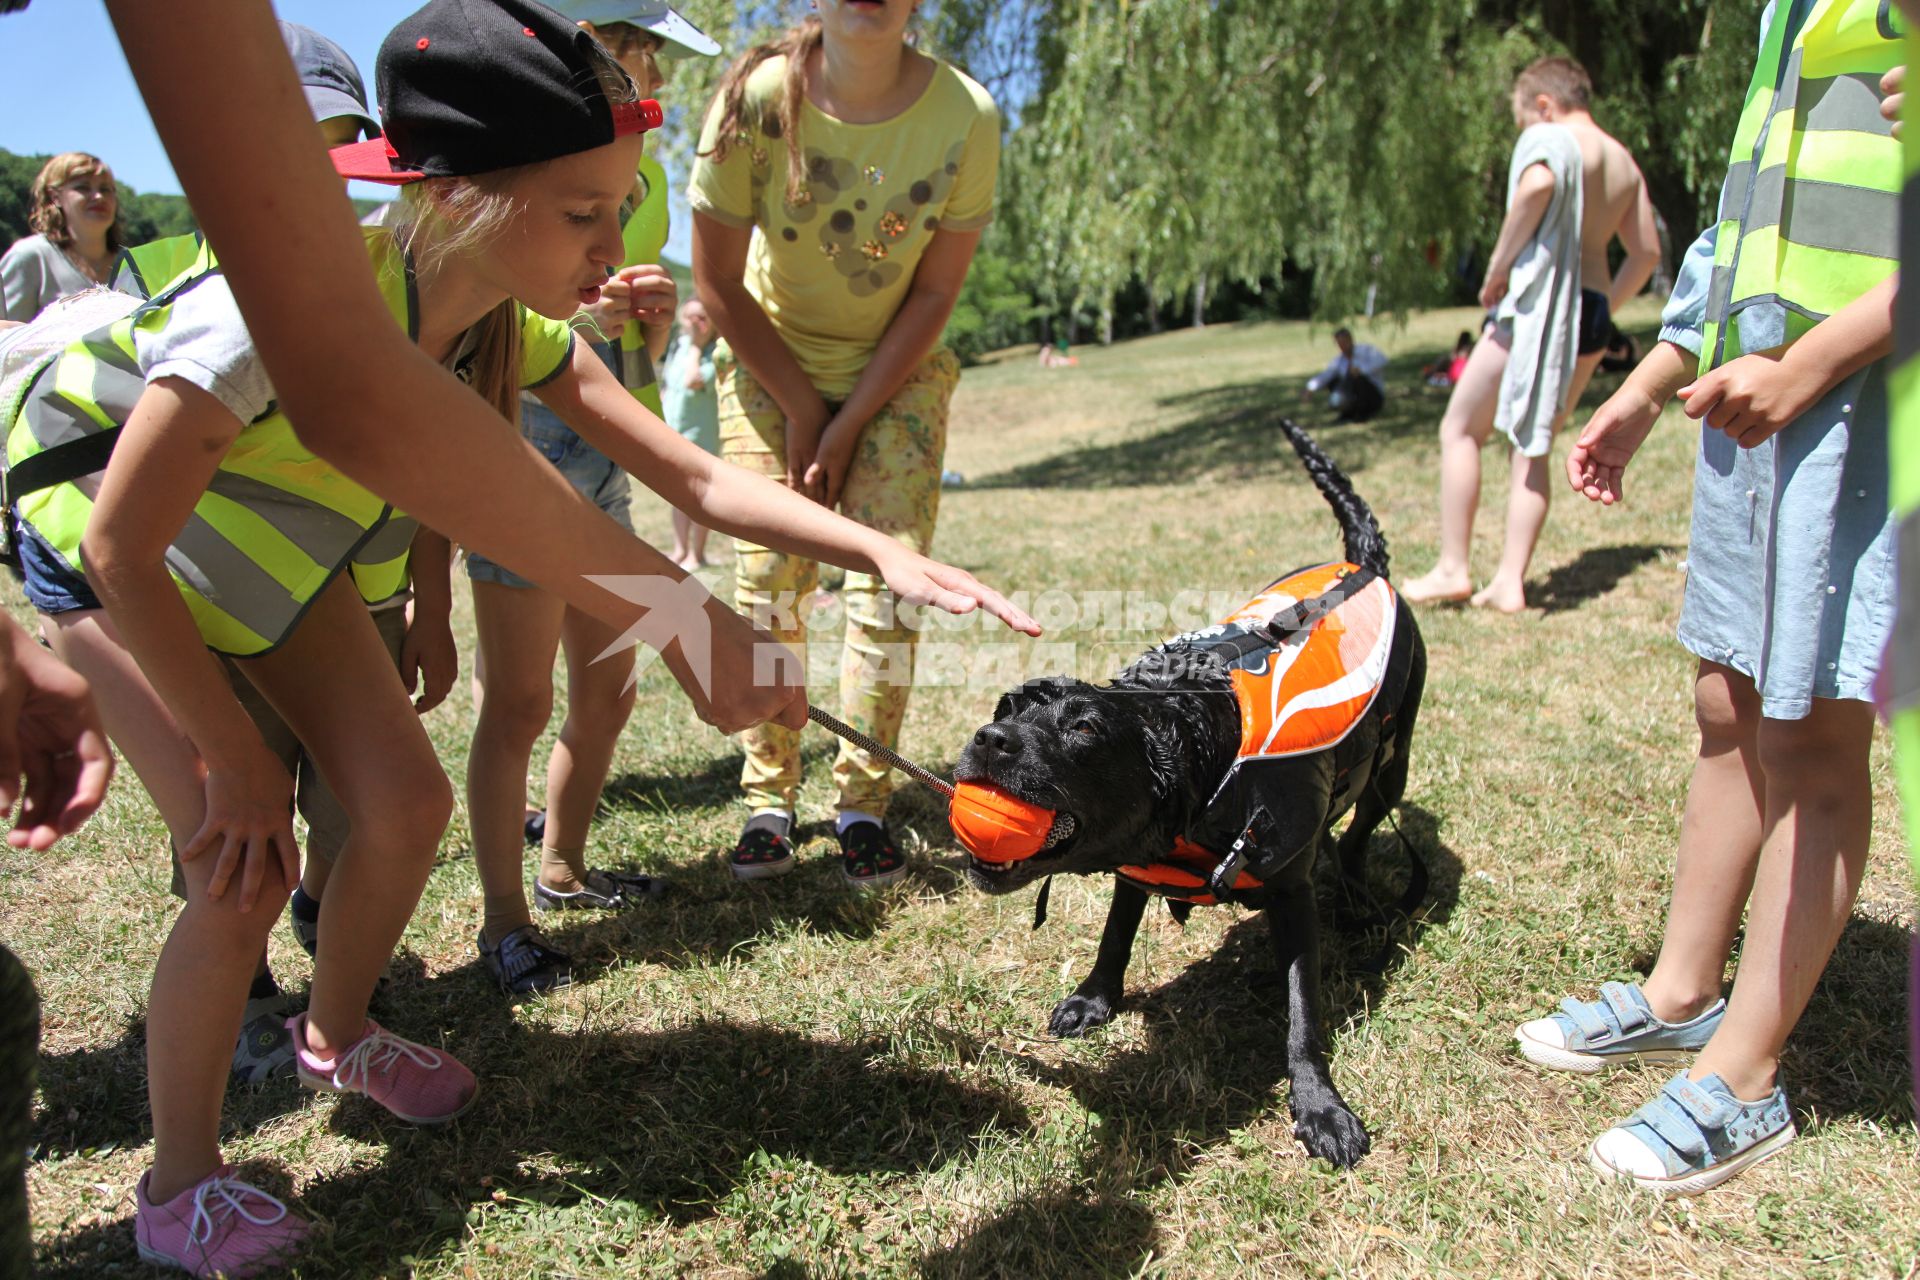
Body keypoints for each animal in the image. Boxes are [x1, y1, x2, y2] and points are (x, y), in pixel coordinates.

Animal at [960, 422, 1428, 1174]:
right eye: (1009, 705)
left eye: (1084, 728)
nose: (989, 738)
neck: (1206, 757)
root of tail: (1364, 564)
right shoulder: (1134, 864)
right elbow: (1115, 936)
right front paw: (1094, 1000)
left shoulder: (1291, 892)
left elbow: (1303, 1015)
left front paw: (1320, 1107)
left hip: (1394, 760)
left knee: (1358, 832)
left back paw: (1357, 899)